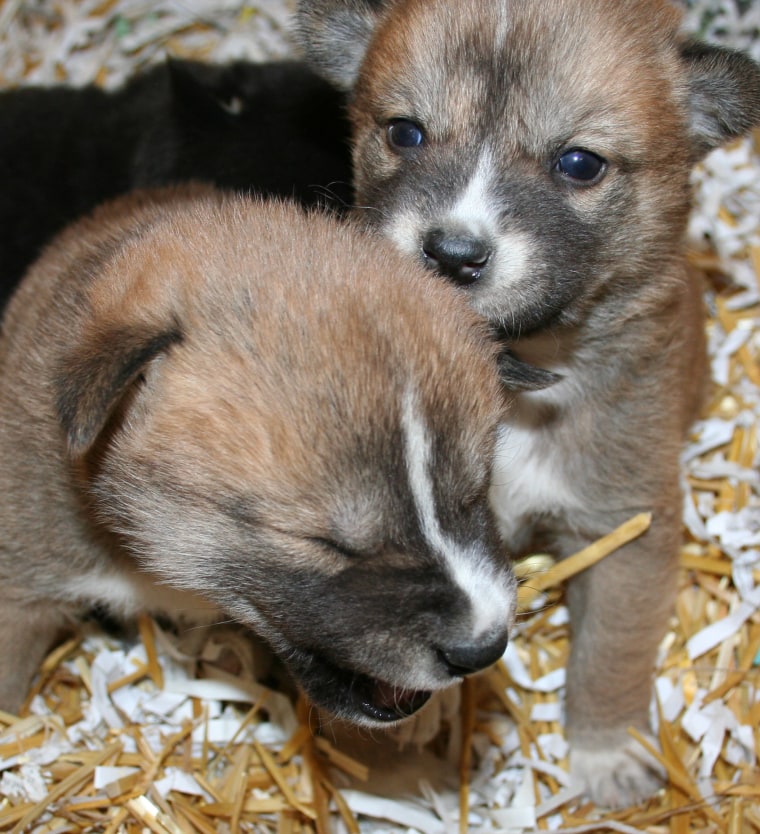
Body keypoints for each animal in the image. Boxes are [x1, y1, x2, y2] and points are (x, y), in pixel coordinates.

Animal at [296, 0, 760, 808]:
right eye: (405, 132)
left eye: (579, 163)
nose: (452, 254)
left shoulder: (624, 528)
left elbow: (611, 651)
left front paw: (606, 752)